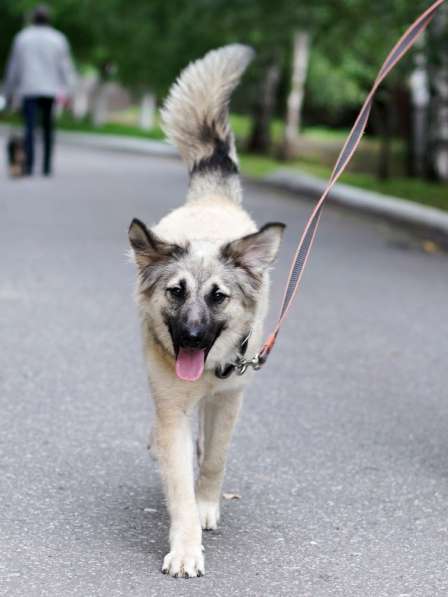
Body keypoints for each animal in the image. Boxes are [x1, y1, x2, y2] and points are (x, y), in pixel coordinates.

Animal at [128, 45, 286, 576]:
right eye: (176, 292)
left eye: (218, 296)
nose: (193, 338)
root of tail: (212, 198)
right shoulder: (173, 405)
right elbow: (177, 479)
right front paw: (185, 547)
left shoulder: (229, 398)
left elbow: (213, 459)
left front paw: (205, 505)